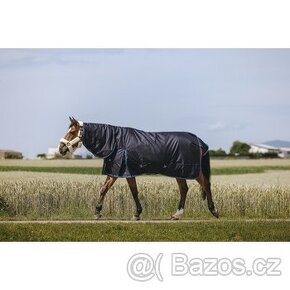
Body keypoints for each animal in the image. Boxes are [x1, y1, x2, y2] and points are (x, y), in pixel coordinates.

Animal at [57, 116, 219, 221]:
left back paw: (214, 211)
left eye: (72, 132)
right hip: (179, 172)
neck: (116, 141)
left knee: (205, 184)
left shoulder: (123, 171)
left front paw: (136, 214)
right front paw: (98, 212)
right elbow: (107, 189)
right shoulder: (117, 170)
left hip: (190, 170)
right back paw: (176, 215)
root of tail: (199, 141)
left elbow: (130, 191)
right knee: (184, 189)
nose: (61, 149)